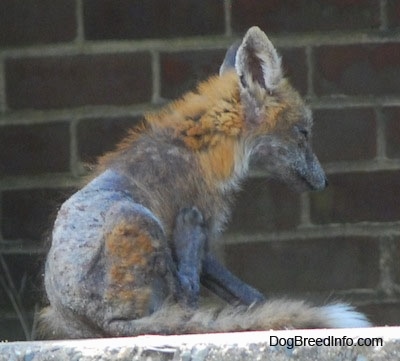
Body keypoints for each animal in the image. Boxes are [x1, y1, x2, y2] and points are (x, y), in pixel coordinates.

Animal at [39, 26, 370, 338]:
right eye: (304, 133)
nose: (324, 182)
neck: (203, 150)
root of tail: (102, 324)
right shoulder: (208, 229)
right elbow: (248, 293)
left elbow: (246, 297)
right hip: (135, 217)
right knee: (185, 296)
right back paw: (187, 231)